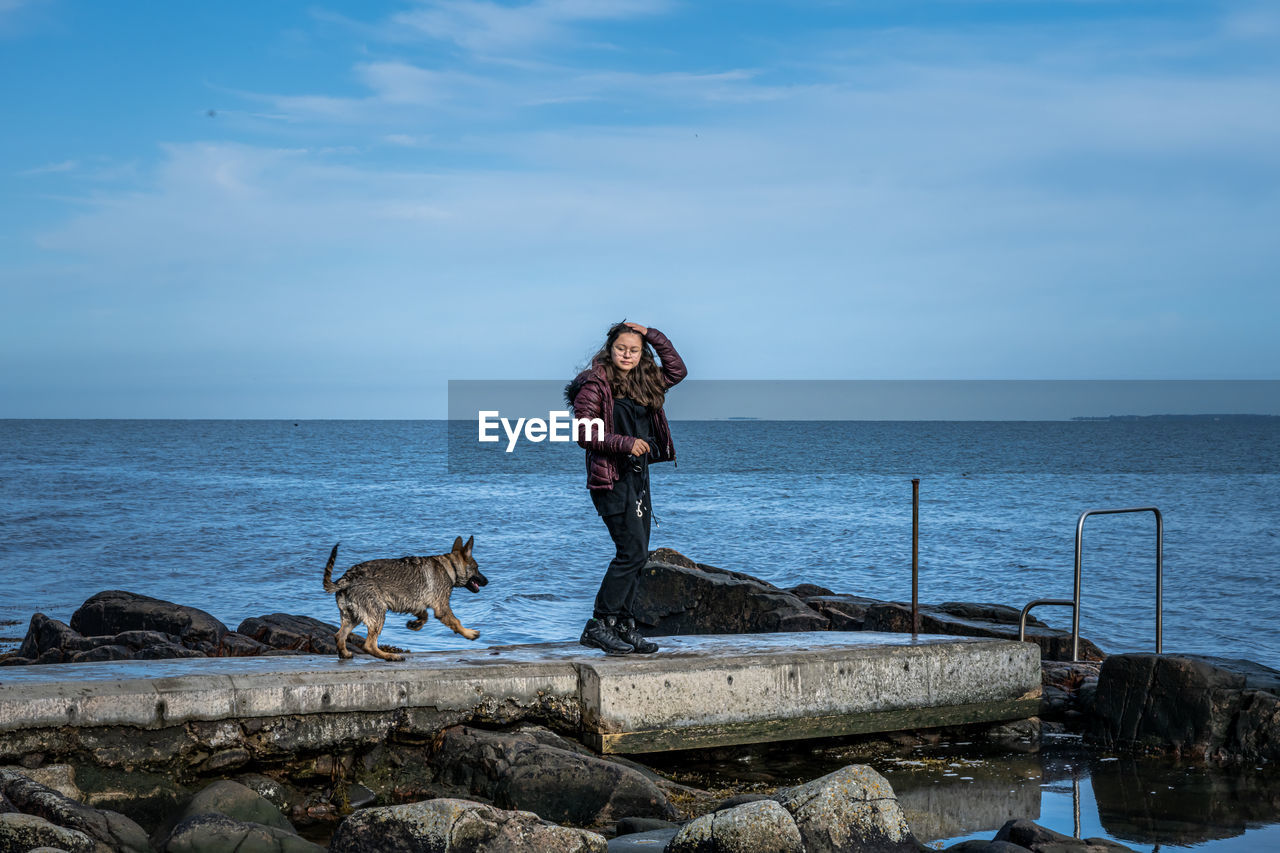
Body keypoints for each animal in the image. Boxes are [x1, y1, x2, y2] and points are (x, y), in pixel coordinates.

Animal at [322, 535, 486, 660]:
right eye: (477, 568)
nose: (487, 581)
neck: (449, 566)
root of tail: (346, 579)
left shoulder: (414, 603)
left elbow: (424, 616)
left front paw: (415, 624)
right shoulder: (442, 607)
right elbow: (456, 622)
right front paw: (469, 633)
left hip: (353, 616)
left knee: (339, 636)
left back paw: (345, 653)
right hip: (378, 613)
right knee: (368, 645)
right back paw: (390, 656)